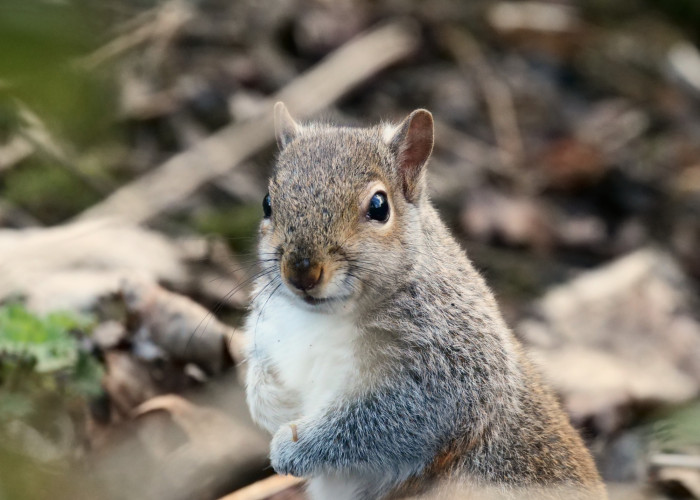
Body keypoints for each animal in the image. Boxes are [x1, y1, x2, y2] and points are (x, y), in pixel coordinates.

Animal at [246, 102, 608, 500]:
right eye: (267, 203)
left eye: (379, 206)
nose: (301, 272)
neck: (324, 317)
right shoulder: (272, 327)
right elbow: (259, 376)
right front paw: (272, 407)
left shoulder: (450, 370)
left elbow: (388, 422)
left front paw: (293, 447)